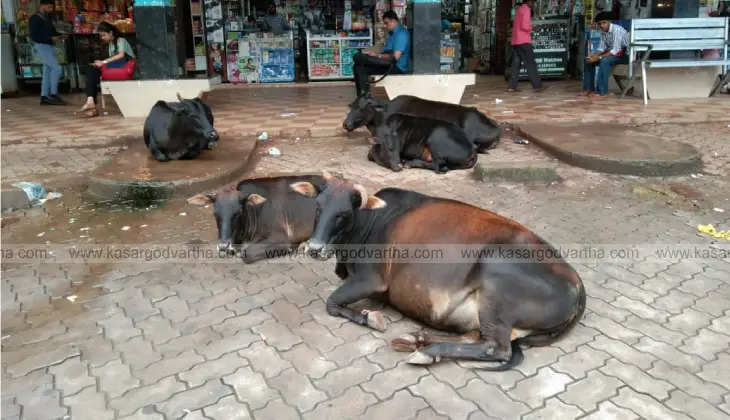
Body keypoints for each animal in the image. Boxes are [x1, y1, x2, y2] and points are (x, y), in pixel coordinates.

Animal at [290, 169, 584, 370]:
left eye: (344, 214)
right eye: (318, 207)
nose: (314, 248)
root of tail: (578, 285)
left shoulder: (372, 280)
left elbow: (331, 302)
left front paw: (371, 318)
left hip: (496, 288)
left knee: (496, 348)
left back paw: (425, 352)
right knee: (473, 336)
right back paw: (415, 338)